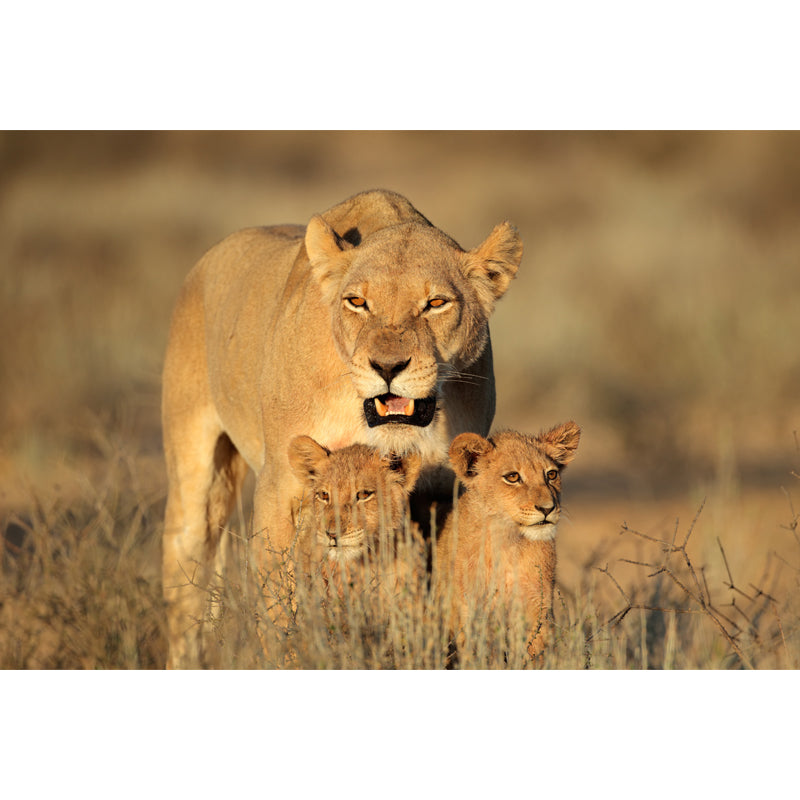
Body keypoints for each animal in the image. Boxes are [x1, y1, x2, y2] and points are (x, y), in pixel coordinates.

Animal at [161, 189, 523, 668]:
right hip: (194, 474)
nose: (387, 367)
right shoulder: (281, 486)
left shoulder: (442, 495)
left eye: (435, 304)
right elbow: (279, 605)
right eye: (357, 302)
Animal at [435, 421, 580, 660]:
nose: (548, 508)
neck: (507, 542)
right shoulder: (470, 609)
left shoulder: (536, 608)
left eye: (551, 474)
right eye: (512, 477)